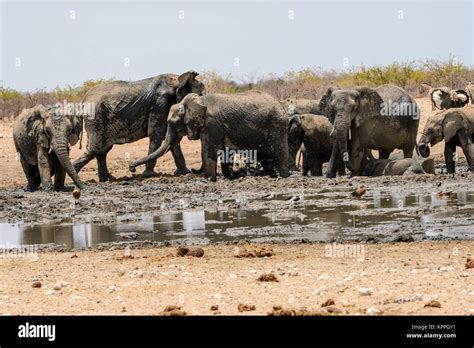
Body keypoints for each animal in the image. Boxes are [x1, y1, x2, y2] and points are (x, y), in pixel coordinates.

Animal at [73, 69, 206, 181]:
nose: (132, 169)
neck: (177, 79)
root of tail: (83, 100)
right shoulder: (160, 104)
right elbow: (156, 136)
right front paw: (149, 175)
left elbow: (172, 141)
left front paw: (184, 173)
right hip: (96, 118)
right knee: (97, 148)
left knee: (102, 150)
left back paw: (108, 179)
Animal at [129, 89, 288, 182]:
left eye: (172, 123)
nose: (131, 168)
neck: (198, 101)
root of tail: (282, 106)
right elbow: (224, 153)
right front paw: (230, 177)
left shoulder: (212, 124)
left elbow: (208, 151)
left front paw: (207, 180)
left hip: (277, 126)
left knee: (280, 153)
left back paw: (283, 177)